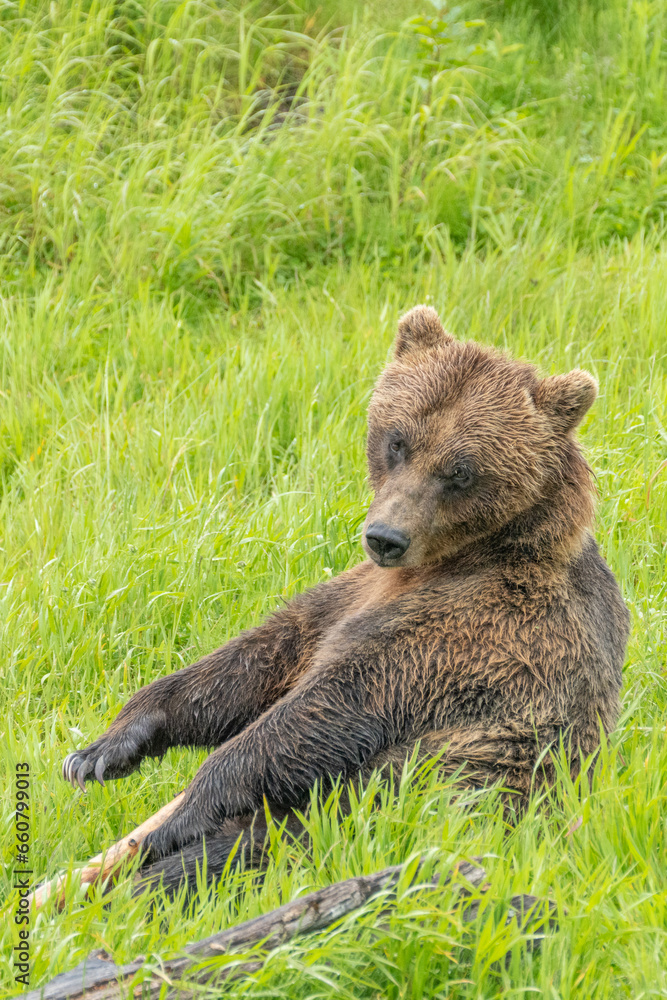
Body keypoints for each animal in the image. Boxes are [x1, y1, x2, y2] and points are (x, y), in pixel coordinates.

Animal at [63, 306, 630, 895]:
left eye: (461, 470)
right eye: (398, 441)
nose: (385, 537)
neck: (463, 555)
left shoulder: (478, 630)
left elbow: (332, 704)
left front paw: (179, 817)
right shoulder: (351, 594)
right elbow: (257, 658)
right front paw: (101, 752)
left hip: (404, 798)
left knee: (251, 850)